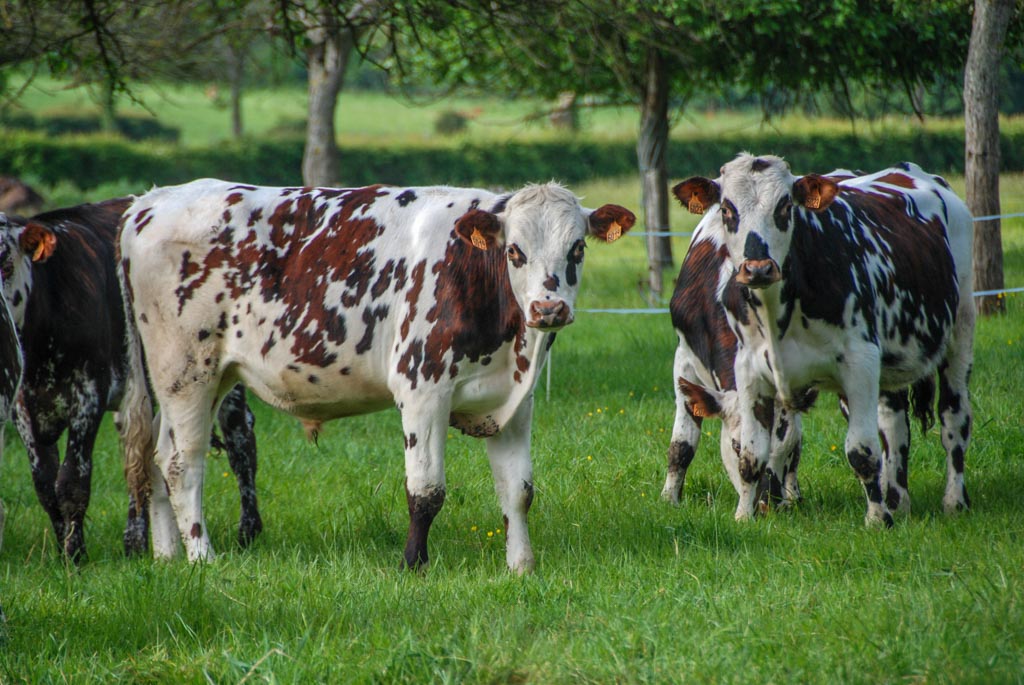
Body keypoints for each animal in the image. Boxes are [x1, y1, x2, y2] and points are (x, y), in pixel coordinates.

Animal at [0, 200, 262, 563]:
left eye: (5, 263)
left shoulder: (88, 395)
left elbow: (72, 481)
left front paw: (76, 556)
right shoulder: (23, 408)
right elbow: (45, 486)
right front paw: (63, 549)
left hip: (222, 378)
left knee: (241, 443)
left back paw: (248, 531)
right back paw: (136, 542)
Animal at [117, 179, 634, 573]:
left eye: (578, 248)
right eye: (515, 251)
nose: (549, 308)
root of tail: (151, 202)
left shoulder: (513, 403)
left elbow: (518, 491)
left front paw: (521, 566)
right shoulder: (423, 390)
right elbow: (425, 492)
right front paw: (413, 565)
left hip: (196, 381)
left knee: (157, 458)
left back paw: (168, 556)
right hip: (187, 372)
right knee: (181, 464)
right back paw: (201, 557)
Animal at [672, 153, 973, 526]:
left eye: (786, 206)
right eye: (727, 209)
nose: (758, 268)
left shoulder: (860, 361)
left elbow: (860, 451)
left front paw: (877, 520)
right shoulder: (733, 367)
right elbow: (713, 450)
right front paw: (734, 514)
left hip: (960, 331)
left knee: (953, 419)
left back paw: (953, 501)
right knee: (894, 426)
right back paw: (897, 500)